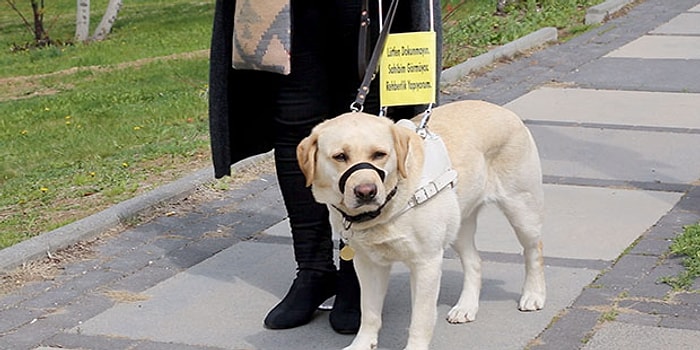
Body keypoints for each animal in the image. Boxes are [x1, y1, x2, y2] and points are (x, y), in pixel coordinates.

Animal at [296, 100, 548, 348]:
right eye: (340, 156)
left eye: (379, 154)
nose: (366, 191)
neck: (388, 207)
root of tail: (504, 111)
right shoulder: (368, 264)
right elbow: (369, 312)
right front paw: (362, 343)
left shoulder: (426, 263)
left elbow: (421, 319)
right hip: (458, 225)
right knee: (474, 261)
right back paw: (466, 307)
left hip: (522, 209)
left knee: (533, 251)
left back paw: (533, 294)